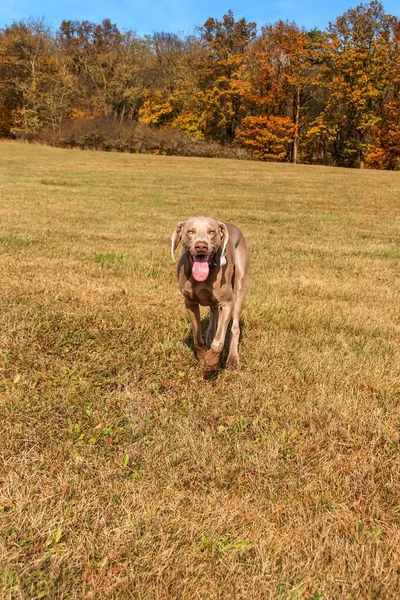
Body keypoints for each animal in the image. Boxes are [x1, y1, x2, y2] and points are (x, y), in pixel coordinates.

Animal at [172, 216, 250, 370]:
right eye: (190, 231)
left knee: (235, 327)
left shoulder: (227, 303)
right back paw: (210, 334)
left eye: (212, 232)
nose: (201, 246)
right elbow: (197, 337)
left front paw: (211, 361)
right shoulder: (189, 303)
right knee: (213, 311)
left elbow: (219, 341)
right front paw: (203, 358)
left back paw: (232, 357)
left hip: (240, 284)